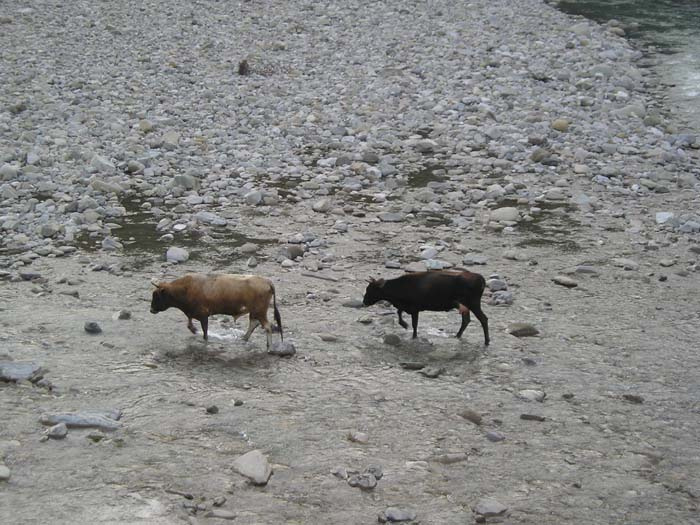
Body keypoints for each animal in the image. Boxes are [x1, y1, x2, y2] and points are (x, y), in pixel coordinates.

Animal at [150, 273, 283, 349]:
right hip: (255, 312)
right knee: (254, 323)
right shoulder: (192, 313)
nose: (151, 310)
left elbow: (204, 332)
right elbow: (189, 324)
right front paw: (194, 330)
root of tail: (267, 282)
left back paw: (269, 346)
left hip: (260, 311)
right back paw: (244, 338)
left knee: (267, 326)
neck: (186, 289)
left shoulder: (204, 315)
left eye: (156, 295)